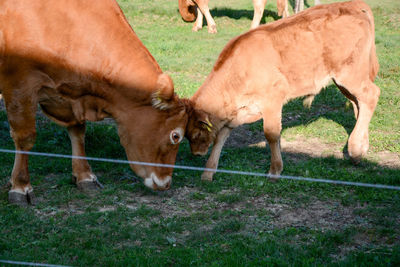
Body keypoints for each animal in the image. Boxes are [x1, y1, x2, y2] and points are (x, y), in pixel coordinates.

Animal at [0, 0, 191, 207]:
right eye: (175, 136)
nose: (166, 183)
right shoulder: (20, 84)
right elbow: (25, 137)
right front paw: (20, 186)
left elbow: (78, 132)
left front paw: (84, 175)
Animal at [186, 0, 380, 182]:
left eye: (196, 133)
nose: (196, 154)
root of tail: (353, 5)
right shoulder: (239, 111)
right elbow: (222, 136)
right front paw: (208, 171)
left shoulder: (272, 101)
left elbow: (271, 135)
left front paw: (275, 170)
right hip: (344, 82)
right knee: (358, 104)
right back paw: (361, 148)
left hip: (350, 76)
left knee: (371, 95)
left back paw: (355, 149)